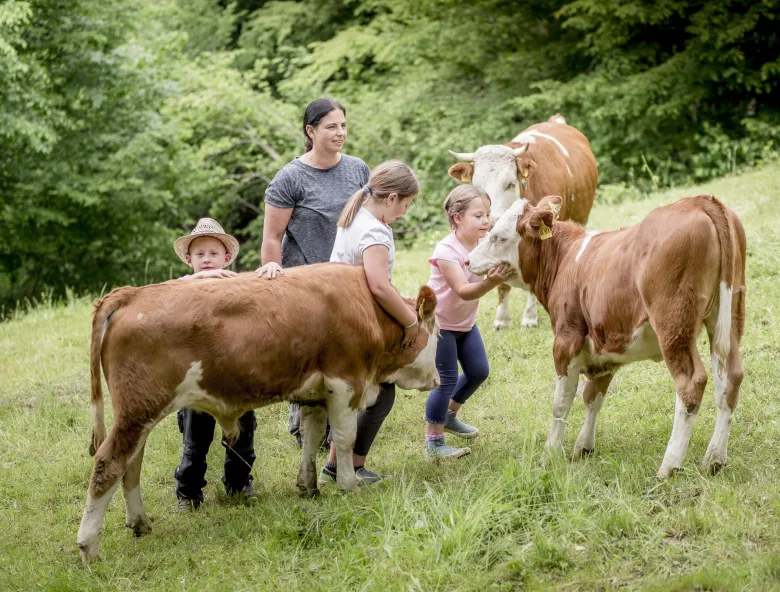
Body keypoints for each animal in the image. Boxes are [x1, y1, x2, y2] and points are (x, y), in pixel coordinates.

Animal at [76, 266, 442, 560]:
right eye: (438, 333)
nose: (438, 378)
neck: (367, 307)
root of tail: (132, 294)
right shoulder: (345, 383)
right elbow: (345, 439)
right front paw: (349, 486)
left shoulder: (315, 392)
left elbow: (311, 437)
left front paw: (308, 487)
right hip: (138, 411)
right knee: (109, 464)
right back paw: (89, 546)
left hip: (138, 416)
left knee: (131, 465)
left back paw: (139, 522)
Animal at [444, 113, 596, 330]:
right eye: (477, 186)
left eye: (510, 183)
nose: (491, 220)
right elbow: (501, 282)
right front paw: (502, 318)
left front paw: (530, 317)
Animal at [466, 194, 748, 476]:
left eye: (499, 237)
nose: (468, 260)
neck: (566, 259)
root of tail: (699, 201)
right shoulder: (604, 345)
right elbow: (593, 396)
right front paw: (584, 446)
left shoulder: (566, 340)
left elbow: (561, 403)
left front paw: (550, 454)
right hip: (728, 318)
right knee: (730, 377)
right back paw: (714, 459)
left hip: (674, 325)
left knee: (690, 383)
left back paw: (669, 466)